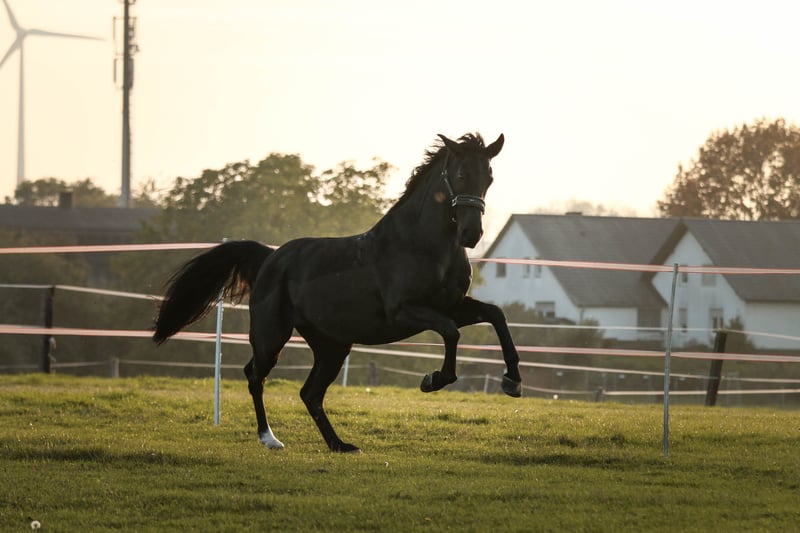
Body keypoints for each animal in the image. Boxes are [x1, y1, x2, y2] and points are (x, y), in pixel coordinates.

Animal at [153, 132, 522, 453]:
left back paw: (340, 444)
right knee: (255, 376)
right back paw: (270, 439)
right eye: (460, 174)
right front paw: (432, 380)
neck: (423, 246)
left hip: (331, 345)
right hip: (272, 335)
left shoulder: (453, 305)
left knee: (310, 393)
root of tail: (270, 257)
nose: (472, 234)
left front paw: (512, 381)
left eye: (489, 177)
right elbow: (450, 332)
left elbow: (495, 315)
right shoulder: (405, 311)